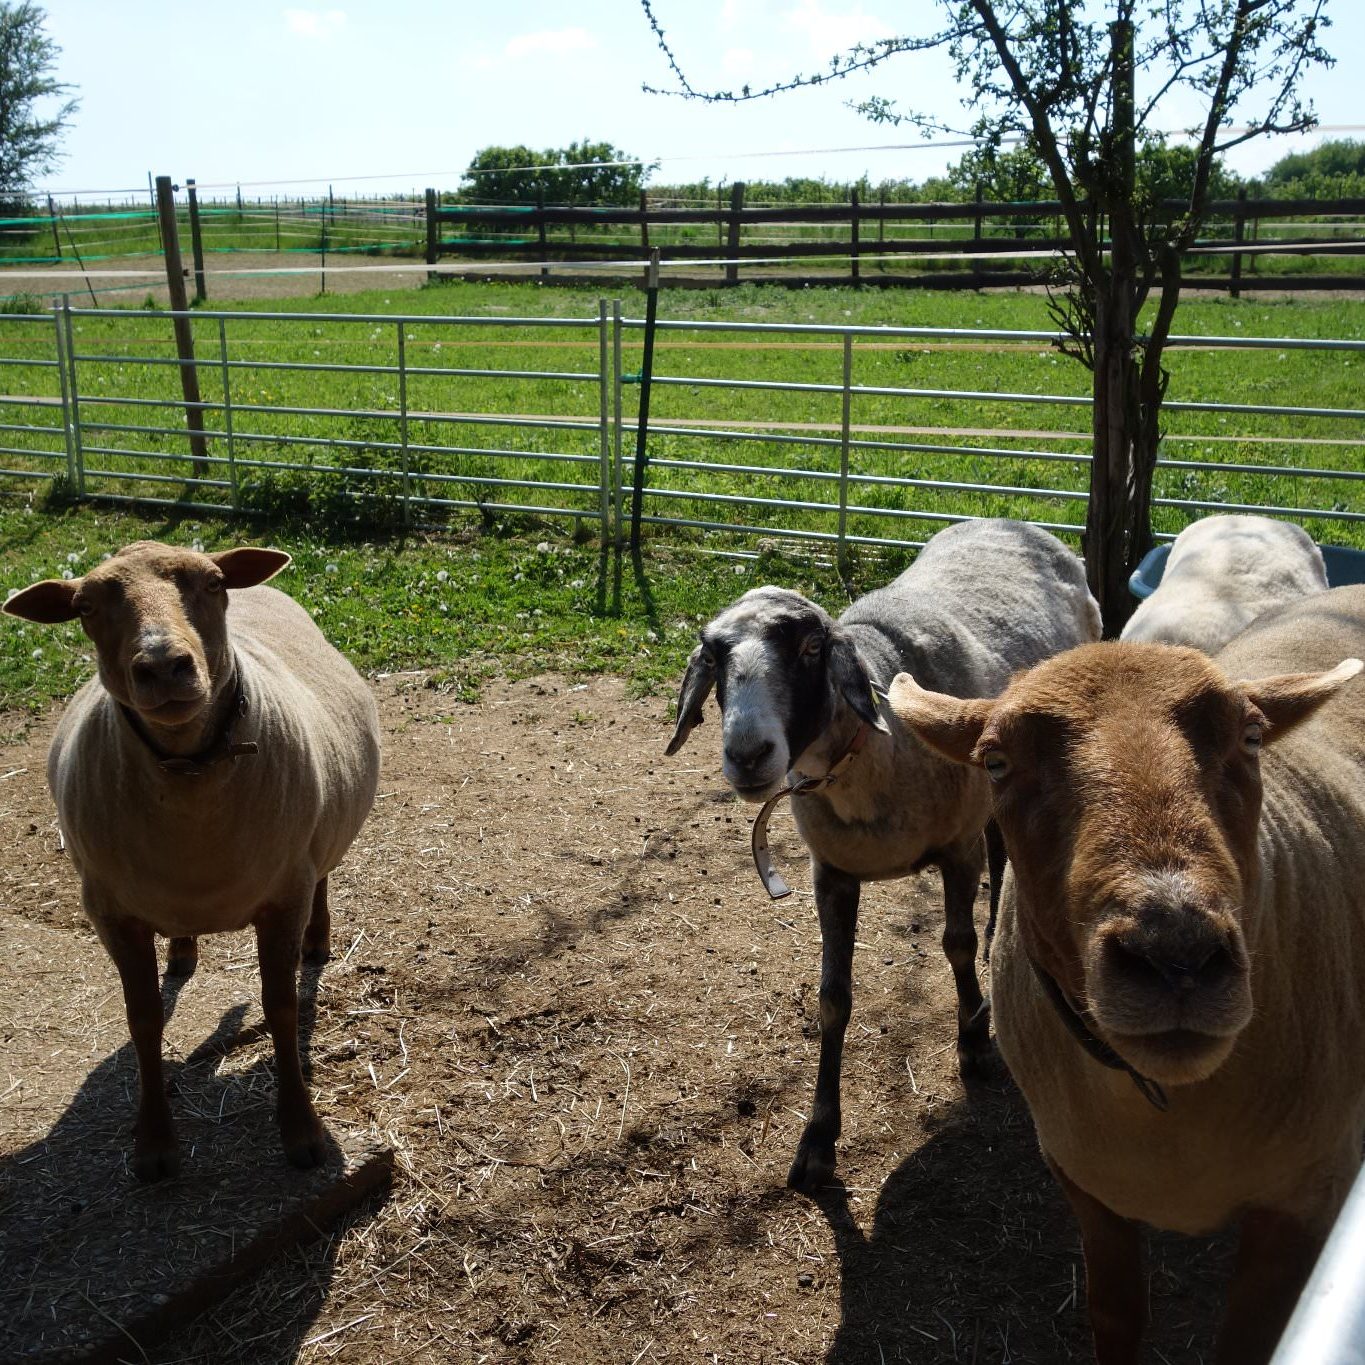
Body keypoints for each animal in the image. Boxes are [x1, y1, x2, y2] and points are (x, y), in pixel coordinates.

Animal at [3, 541, 380, 1181]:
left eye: (212, 583)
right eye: (85, 607)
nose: (162, 666)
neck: (188, 771)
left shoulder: (285, 892)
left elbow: (281, 1008)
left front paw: (301, 1131)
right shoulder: (110, 912)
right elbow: (144, 1020)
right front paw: (154, 1144)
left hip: (320, 829)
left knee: (325, 874)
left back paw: (318, 941)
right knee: (179, 941)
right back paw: (180, 953)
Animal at [666, 518, 1101, 1188]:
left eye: (811, 648)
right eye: (714, 656)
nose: (747, 755)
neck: (870, 757)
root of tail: (1011, 520)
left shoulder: (956, 848)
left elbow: (956, 944)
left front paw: (974, 1038)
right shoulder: (832, 874)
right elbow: (833, 998)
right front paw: (818, 1137)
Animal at [887, 586, 1365, 1363]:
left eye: (1250, 737)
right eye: (995, 762)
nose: (1176, 951)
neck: (1166, 1115)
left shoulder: (1304, 1202)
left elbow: (1243, 1341)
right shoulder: (1085, 1182)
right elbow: (1115, 1314)